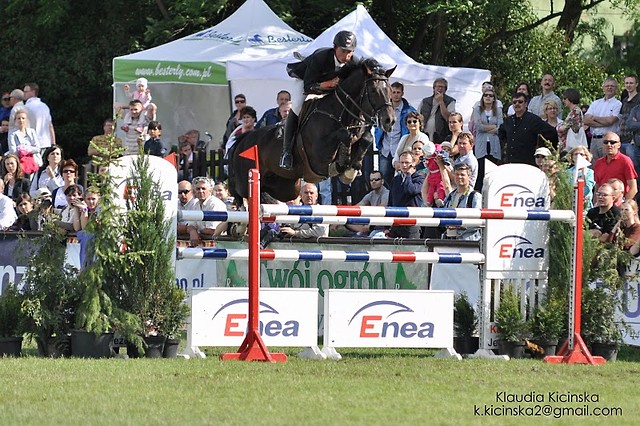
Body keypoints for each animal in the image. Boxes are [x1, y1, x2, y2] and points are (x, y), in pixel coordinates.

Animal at [225, 57, 396, 204]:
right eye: (373, 90)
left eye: (390, 90)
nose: (390, 120)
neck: (342, 115)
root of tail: (242, 140)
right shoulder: (319, 157)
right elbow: (343, 135)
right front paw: (342, 164)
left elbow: (367, 138)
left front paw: (351, 170)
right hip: (246, 180)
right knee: (238, 192)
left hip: (286, 187)